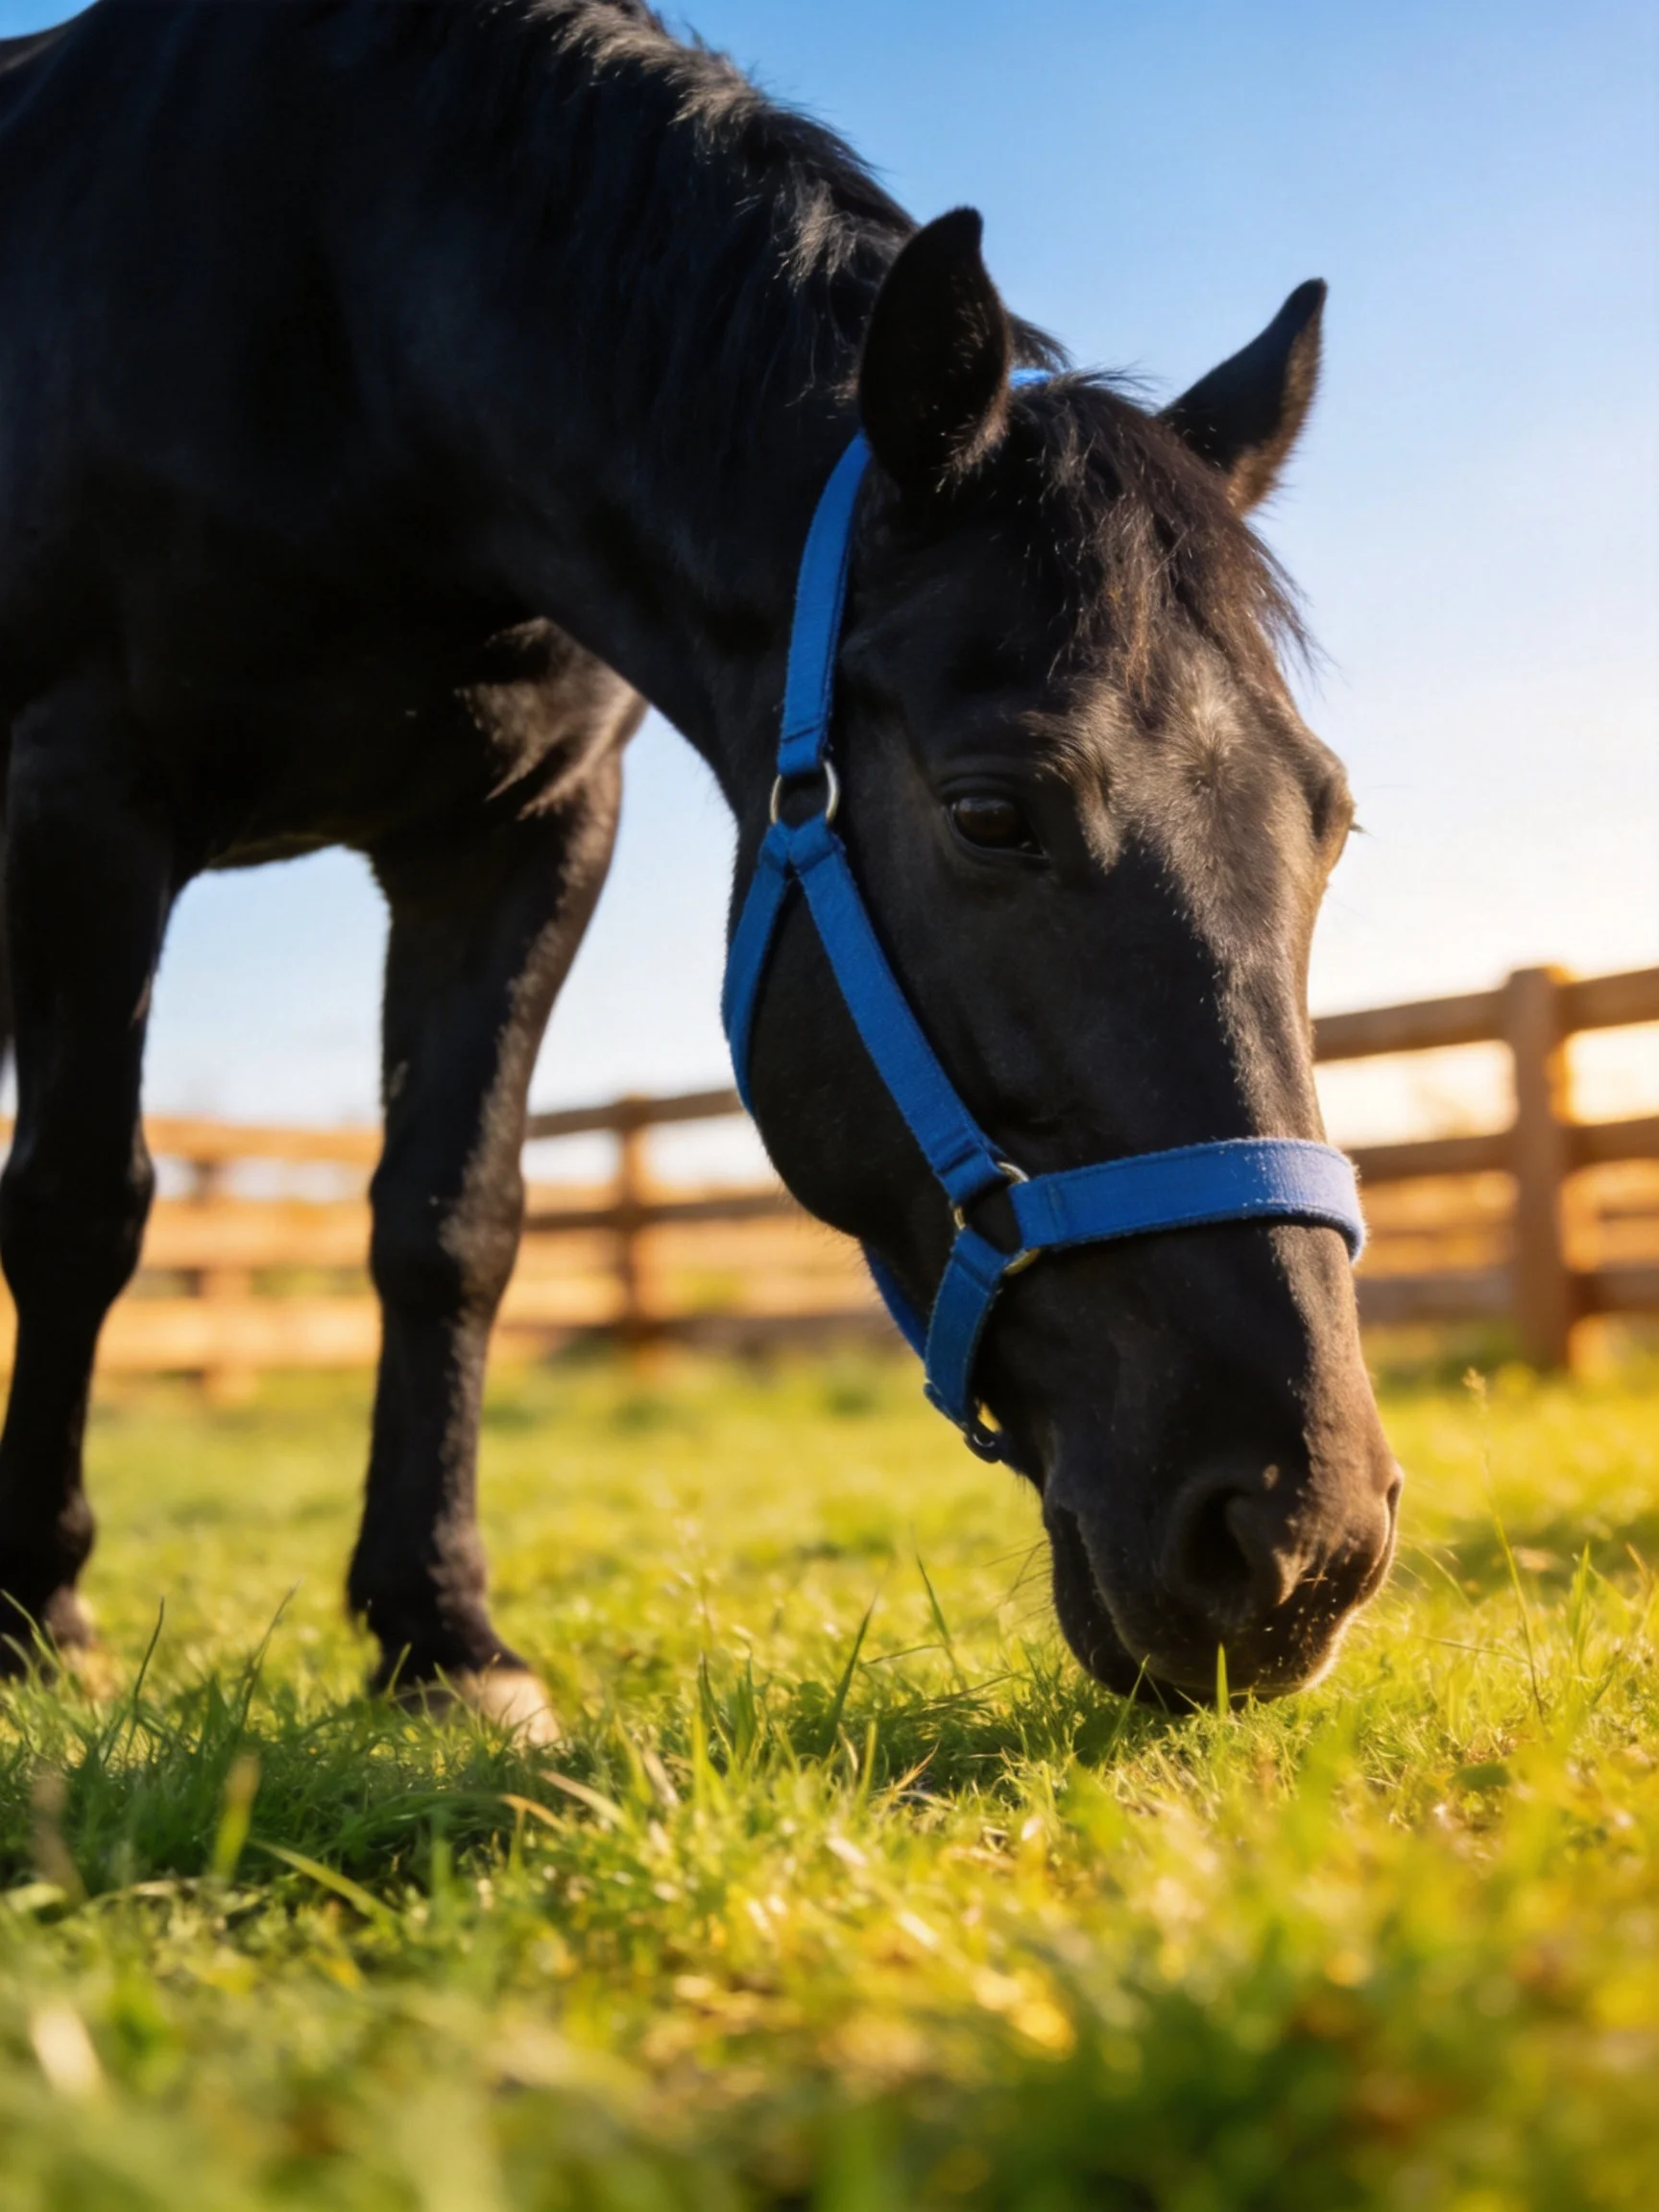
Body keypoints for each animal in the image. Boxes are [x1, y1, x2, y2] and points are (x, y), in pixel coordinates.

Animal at [0, 0, 1399, 1731]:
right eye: (990, 812)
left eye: (1325, 819)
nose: (1301, 1542)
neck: (342, 311)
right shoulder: (85, 796)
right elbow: (77, 1207)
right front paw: (42, 1615)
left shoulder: (521, 837)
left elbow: (451, 1224)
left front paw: (441, 1635)